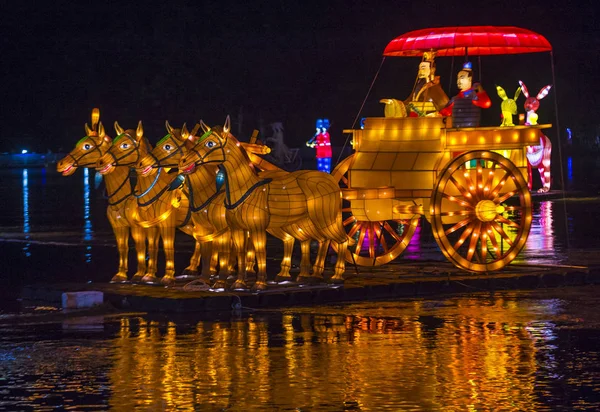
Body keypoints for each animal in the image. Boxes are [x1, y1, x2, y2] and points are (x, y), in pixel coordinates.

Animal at [56, 108, 152, 284]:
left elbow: (141, 245)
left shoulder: (138, 226)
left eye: (87, 146)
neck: (122, 199)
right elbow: (123, 246)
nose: (61, 164)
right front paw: (120, 275)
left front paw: (141, 274)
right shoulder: (118, 226)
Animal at [96, 120, 202, 284]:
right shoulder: (144, 225)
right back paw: (193, 267)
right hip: (187, 224)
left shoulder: (164, 224)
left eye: (125, 145)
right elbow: (147, 246)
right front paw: (147, 275)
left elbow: (166, 246)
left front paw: (166, 277)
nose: (100, 162)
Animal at [180, 115, 352, 290]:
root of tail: (332, 180)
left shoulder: (257, 228)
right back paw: (311, 276)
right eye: (199, 139)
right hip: (303, 223)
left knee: (342, 240)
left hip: (326, 219)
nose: (183, 160)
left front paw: (259, 283)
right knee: (318, 240)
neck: (244, 189)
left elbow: (260, 251)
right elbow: (241, 252)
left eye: (210, 143)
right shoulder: (237, 229)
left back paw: (336, 277)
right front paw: (239, 282)